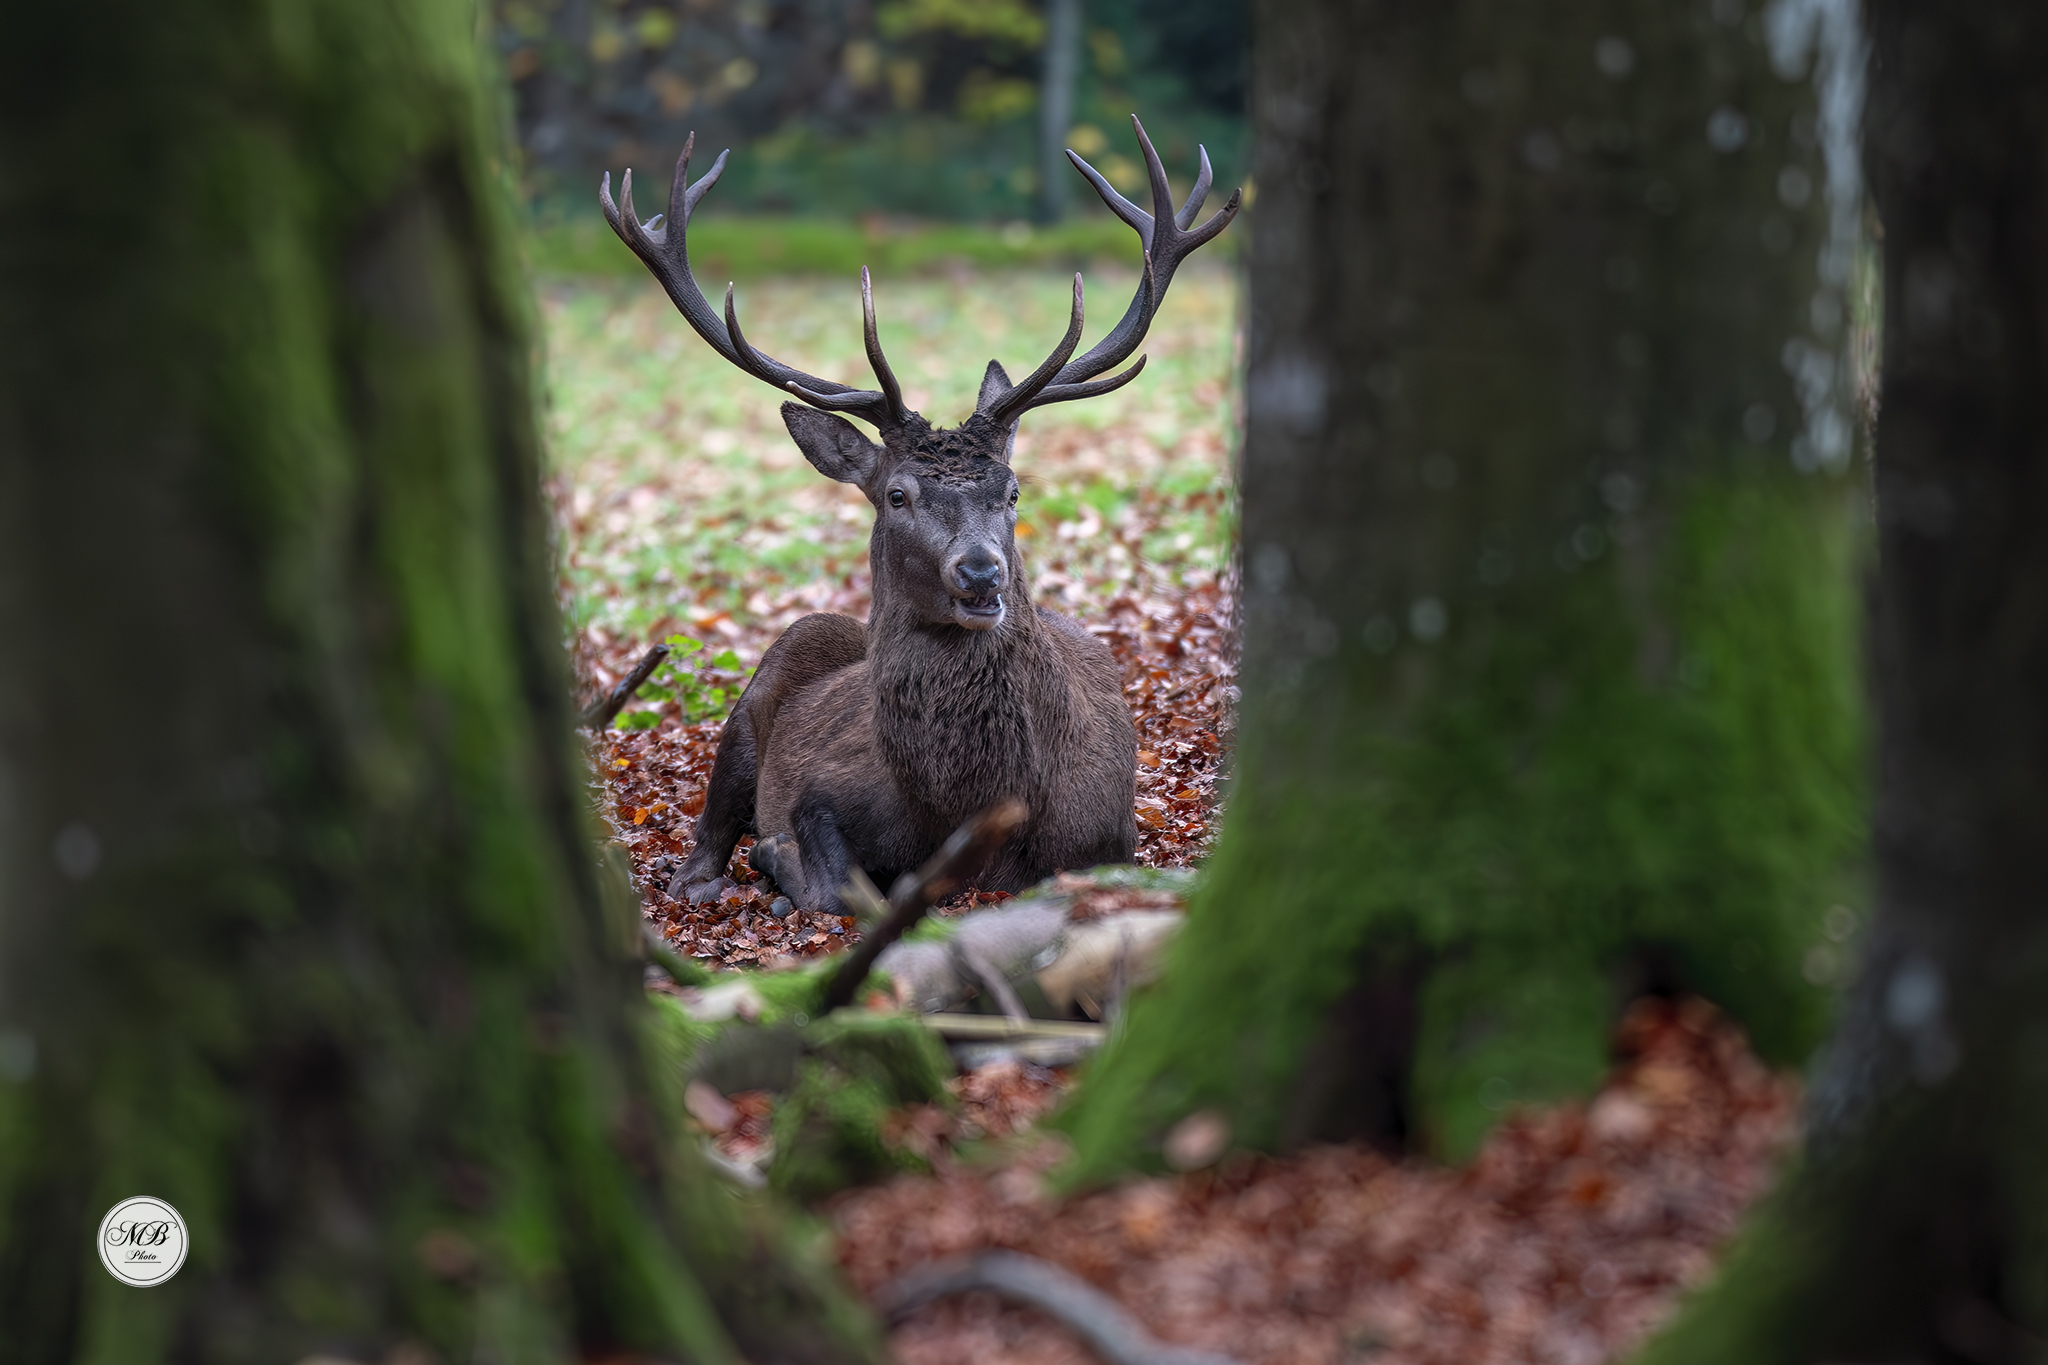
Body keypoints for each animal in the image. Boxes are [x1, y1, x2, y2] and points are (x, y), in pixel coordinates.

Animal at [599, 116, 1238, 916]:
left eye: (1012, 490)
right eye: (897, 495)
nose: (981, 573)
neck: (965, 813)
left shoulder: (1107, 838)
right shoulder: (819, 795)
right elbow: (842, 884)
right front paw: (778, 861)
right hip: (757, 693)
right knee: (709, 831)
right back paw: (707, 876)